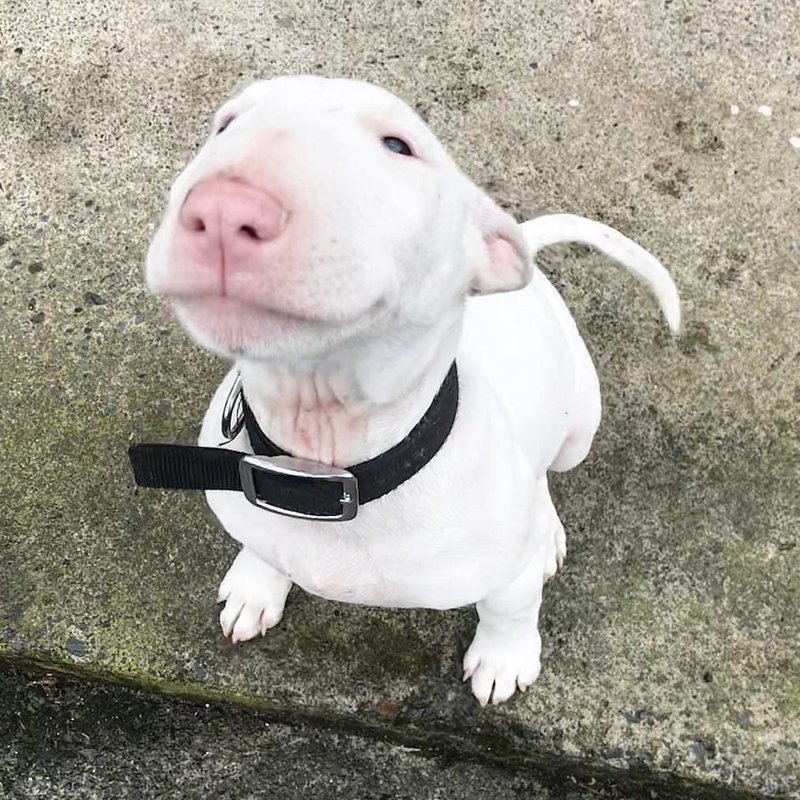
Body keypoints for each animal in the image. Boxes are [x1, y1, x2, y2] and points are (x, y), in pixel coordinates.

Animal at [141, 73, 680, 700]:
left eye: (399, 145)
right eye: (225, 125)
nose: (223, 212)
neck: (330, 451)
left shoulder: (508, 574)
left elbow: (510, 609)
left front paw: (504, 658)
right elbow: (263, 545)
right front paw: (257, 585)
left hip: (580, 426)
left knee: (547, 474)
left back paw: (545, 530)